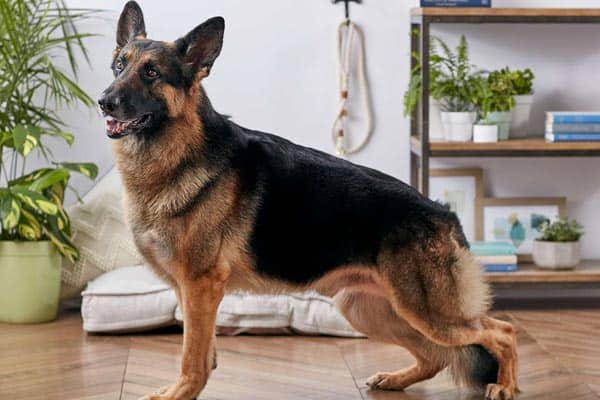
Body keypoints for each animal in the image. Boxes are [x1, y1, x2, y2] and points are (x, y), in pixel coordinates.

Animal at [101, 1, 516, 398]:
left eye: (152, 73)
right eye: (119, 66)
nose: (105, 101)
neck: (177, 153)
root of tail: (445, 215)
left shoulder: (200, 287)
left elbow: (193, 360)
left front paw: (177, 394)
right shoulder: (189, 294)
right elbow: (203, 355)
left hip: (428, 313)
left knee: (501, 332)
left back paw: (506, 386)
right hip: (369, 310)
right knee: (436, 356)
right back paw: (395, 379)